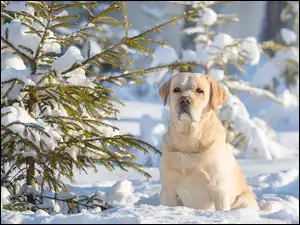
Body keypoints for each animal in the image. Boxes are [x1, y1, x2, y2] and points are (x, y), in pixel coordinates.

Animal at [158, 73, 258, 211]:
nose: (184, 100)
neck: (189, 141)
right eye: (176, 89)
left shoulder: (219, 189)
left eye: (200, 90)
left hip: (243, 200)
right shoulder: (168, 188)